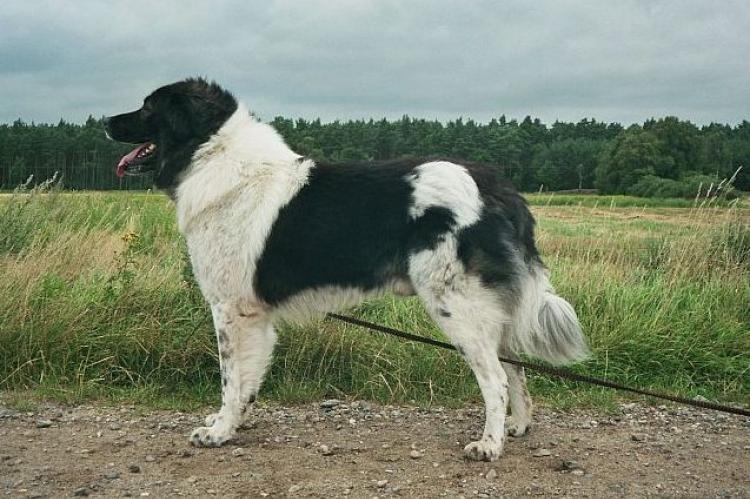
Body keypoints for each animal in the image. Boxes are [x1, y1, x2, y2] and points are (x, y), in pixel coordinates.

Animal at [104, 78, 588, 464]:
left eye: (148, 107)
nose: (106, 120)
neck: (212, 155)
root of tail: (496, 186)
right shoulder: (255, 315)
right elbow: (247, 381)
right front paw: (234, 421)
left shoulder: (230, 308)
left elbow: (230, 378)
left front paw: (219, 432)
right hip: (483, 307)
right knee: (515, 368)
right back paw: (517, 427)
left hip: (456, 305)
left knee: (496, 381)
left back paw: (489, 445)